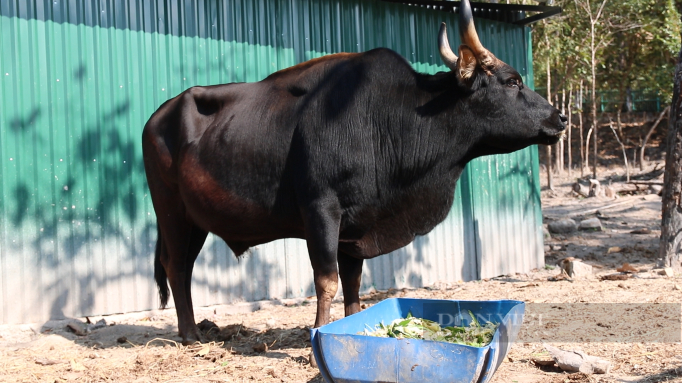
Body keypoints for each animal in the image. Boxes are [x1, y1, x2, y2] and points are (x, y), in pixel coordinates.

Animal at [139, 0, 564, 348]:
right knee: (177, 269)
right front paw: (317, 336)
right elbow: (326, 280)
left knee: (183, 269)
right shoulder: (321, 211)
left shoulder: (357, 225)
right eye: (513, 81)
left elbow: (354, 284)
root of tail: (157, 116)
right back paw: (190, 334)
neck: (389, 119)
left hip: (196, 221)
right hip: (171, 213)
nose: (559, 117)